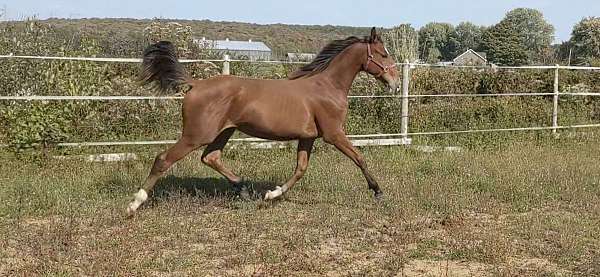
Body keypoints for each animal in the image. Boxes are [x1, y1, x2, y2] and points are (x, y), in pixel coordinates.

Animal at [126, 27, 398, 215]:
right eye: (383, 54)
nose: (395, 84)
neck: (327, 86)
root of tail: (196, 84)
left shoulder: (307, 137)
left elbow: (300, 169)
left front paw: (271, 194)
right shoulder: (334, 134)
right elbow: (359, 158)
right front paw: (378, 191)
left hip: (224, 132)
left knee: (210, 157)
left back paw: (244, 189)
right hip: (196, 135)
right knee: (164, 159)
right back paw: (134, 204)